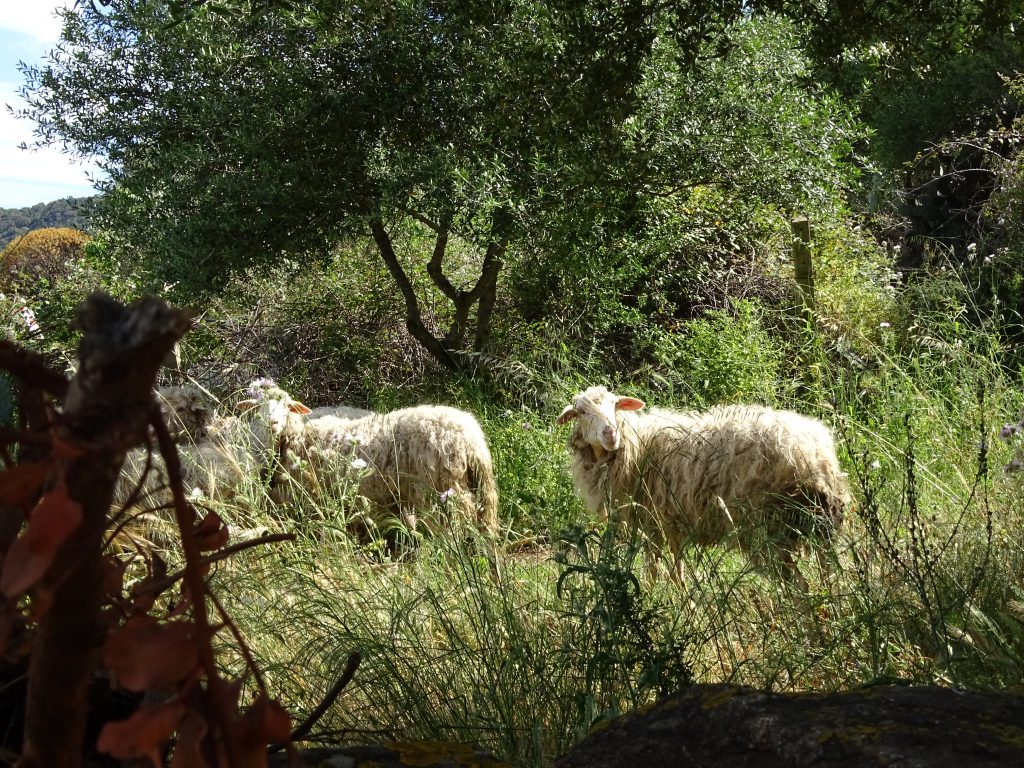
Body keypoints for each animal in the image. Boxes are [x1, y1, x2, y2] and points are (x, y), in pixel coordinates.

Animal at [556, 386, 850, 589]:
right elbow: (673, 569)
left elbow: (655, 570)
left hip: (769, 528)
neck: (637, 445)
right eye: (582, 412)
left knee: (800, 585)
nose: (610, 433)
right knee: (829, 574)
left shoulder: (653, 520)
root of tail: (815, 454)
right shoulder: (667, 522)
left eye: (615, 406)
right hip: (818, 524)